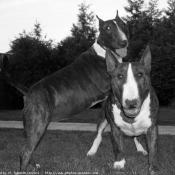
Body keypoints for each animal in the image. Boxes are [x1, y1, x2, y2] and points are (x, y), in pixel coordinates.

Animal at [2, 11, 129, 171]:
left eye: (123, 24)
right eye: (107, 28)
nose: (124, 42)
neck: (104, 51)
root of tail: (28, 92)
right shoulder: (107, 83)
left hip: (33, 126)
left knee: (29, 148)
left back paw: (35, 166)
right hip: (38, 123)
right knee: (25, 152)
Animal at [87, 45, 159, 174]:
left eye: (140, 75)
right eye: (119, 76)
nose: (131, 103)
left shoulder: (152, 127)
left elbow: (153, 148)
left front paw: (153, 167)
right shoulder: (115, 128)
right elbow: (118, 147)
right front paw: (119, 163)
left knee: (137, 137)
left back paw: (141, 149)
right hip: (102, 119)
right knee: (98, 135)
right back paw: (92, 151)